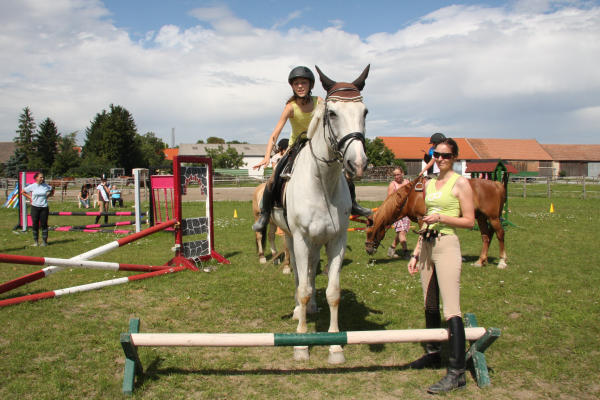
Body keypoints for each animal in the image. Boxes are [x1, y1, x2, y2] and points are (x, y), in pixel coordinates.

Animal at [270, 65, 370, 364]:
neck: (322, 183)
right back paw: (297, 311)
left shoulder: (336, 241)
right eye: (332, 113)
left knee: (312, 271)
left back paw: (314, 307)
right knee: (299, 275)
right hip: (292, 238)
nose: (358, 164)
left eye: (365, 112)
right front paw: (302, 345)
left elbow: (333, 292)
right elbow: (302, 288)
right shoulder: (302, 239)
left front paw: (335, 346)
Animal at [365, 176, 508, 269]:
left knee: (500, 234)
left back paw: (502, 261)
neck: (410, 197)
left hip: (493, 217)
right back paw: (480, 261)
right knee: (486, 237)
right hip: (481, 217)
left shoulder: (422, 218)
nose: (368, 249)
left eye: (370, 231)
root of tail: (497, 184)